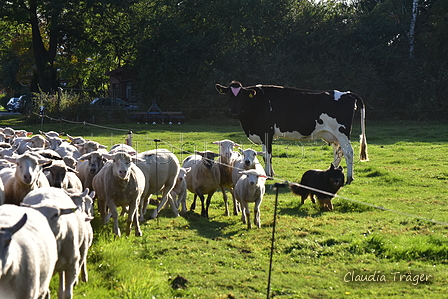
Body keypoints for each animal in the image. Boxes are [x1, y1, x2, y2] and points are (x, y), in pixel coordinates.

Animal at [216, 81, 368, 184]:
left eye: (242, 96)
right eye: (229, 96)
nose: (234, 112)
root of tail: (347, 93)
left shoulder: (266, 132)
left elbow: (266, 155)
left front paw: (268, 174)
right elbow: (267, 156)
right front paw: (271, 173)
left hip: (342, 132)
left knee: (349, 152)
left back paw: (349, 178)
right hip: (334, 135)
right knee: (338, 152)